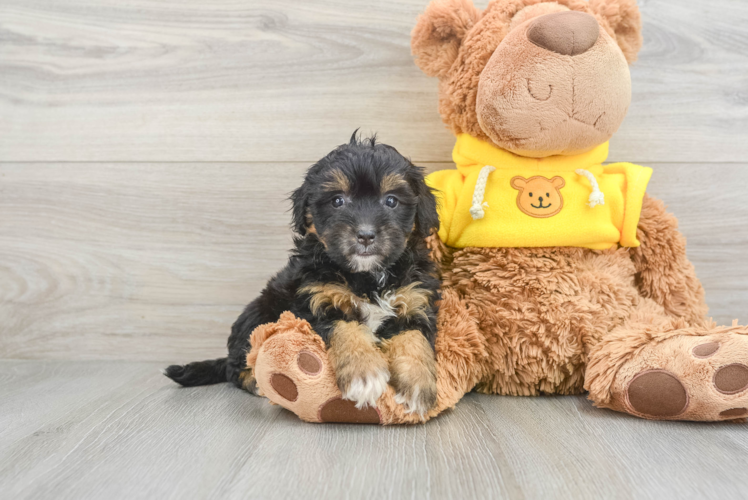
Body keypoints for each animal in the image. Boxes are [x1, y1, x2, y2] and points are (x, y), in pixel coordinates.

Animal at [165, 133, 438, 414]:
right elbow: (346, 329)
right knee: (236, 366)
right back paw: (256, 382)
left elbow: (414, 339)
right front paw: (364, 374)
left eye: (391, 201)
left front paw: (418, 386)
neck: (367, 277)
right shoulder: (316, 302)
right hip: (258, 314)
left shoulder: (414, 302)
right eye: (337, 201)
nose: (365, 234)